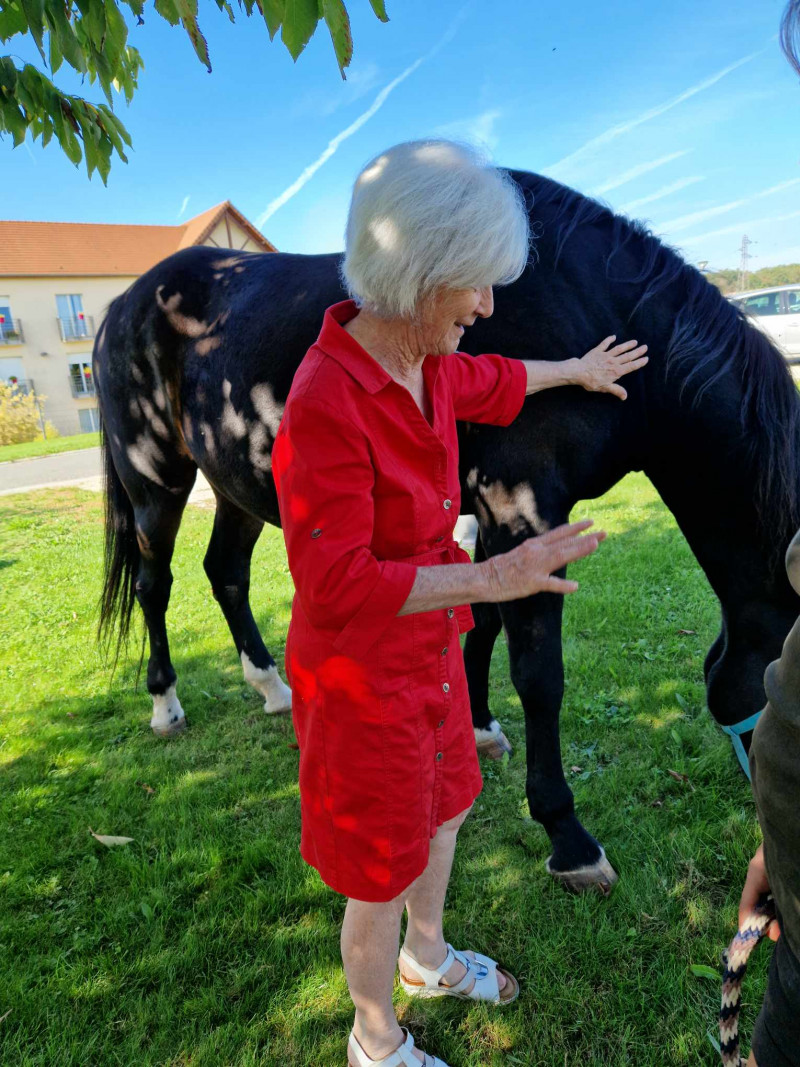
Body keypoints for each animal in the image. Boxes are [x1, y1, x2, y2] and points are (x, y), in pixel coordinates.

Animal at [97, 172, 800, 892]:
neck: (596, 304)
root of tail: (126, 303)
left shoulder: (499, 517)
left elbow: (484, 618)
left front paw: (481, 726)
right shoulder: (520, 507)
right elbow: (539, 672)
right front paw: (568, 837)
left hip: (234, 480)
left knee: (226, 573)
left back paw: (272, 689)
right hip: (156, 483)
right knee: (155, 584)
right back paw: (165, 705)